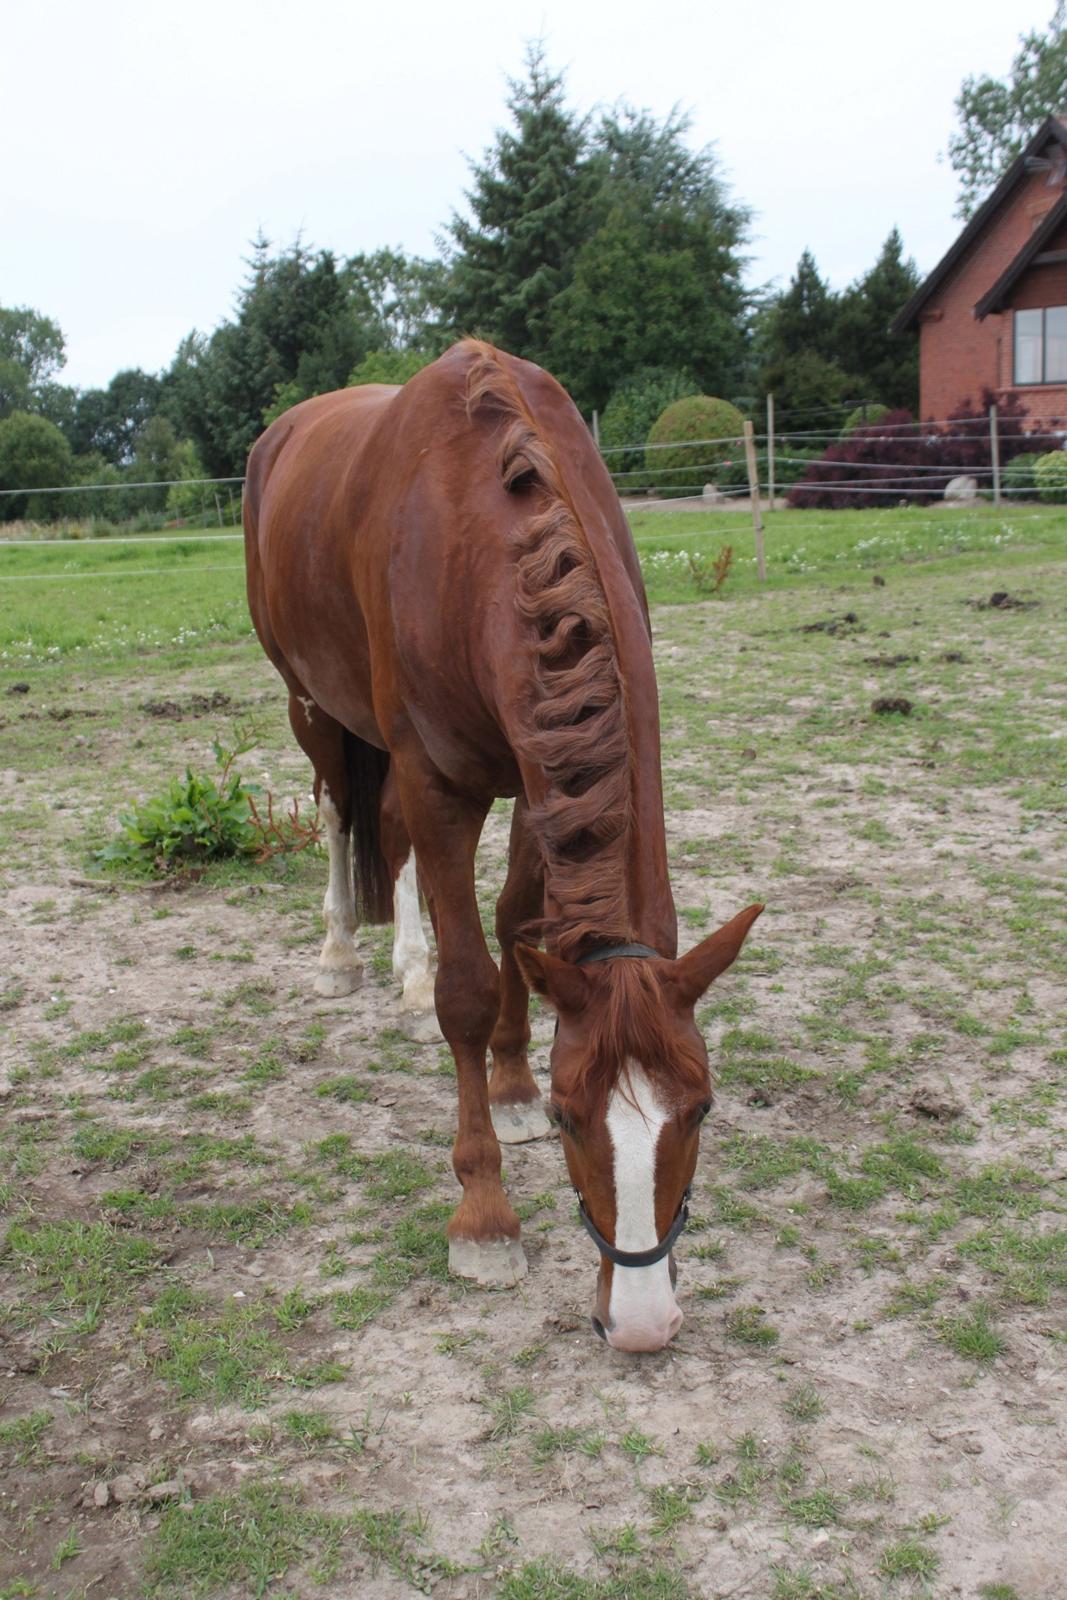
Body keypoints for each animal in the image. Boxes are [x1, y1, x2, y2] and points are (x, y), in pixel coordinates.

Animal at [244, 340, 758, 1350]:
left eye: (702, 1107)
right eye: (571, 1118)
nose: (641, 1321)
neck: (480, 531)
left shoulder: (539, 766)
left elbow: (521, 922)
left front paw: (509, 1079)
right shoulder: (440, 783)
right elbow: (468, 990)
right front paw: (484, 1213)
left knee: (387, 839)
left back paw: (400, 967)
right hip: (312, 704)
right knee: (338, 814)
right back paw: (340, 954)